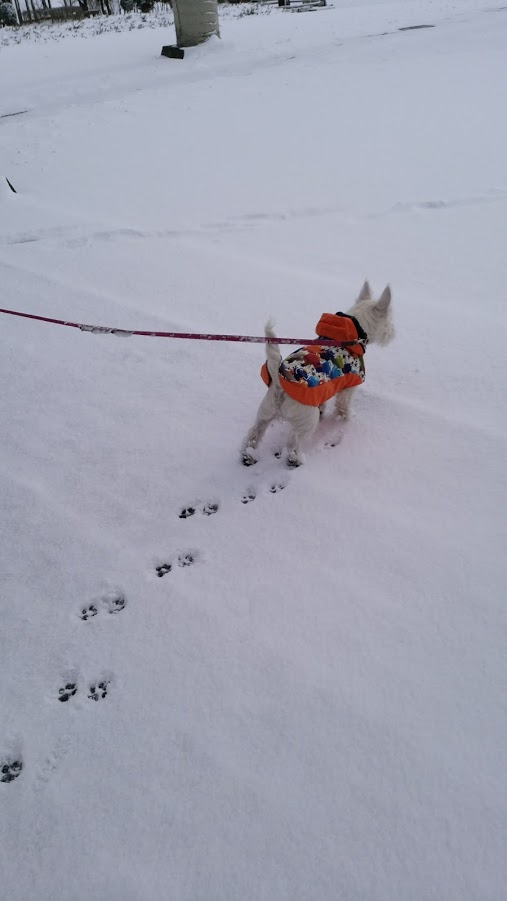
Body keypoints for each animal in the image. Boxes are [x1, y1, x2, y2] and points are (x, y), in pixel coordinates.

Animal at [240, 282, 394, 468]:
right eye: (390, 321)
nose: (393, 333)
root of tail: (279, 384)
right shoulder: (349, 387)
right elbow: (344, 407)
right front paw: (348, 418)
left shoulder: (322, 390)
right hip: (306, 419)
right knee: (293, 441)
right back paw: (296, 459)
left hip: (265, 412)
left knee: (255, 433)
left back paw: (248, 455)